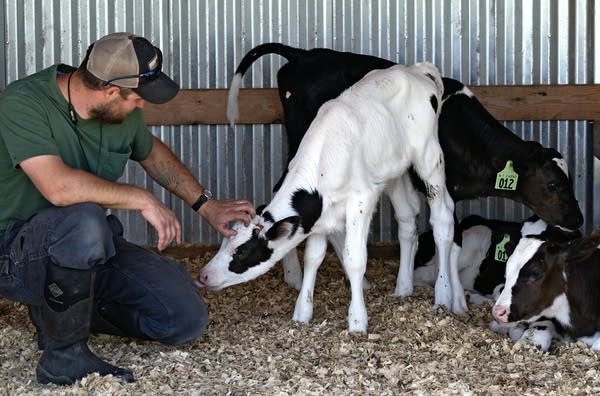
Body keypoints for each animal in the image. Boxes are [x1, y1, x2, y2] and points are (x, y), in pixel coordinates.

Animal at [199, 63, 452, 332]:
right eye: (223, 242)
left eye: (242, 250)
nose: (203, 275)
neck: (323, 161)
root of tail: (414, 70)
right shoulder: (319, 216)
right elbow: (313, 258)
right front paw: (302, 311)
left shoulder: (361, 200)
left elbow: (354, 258)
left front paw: (357, 320)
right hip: (394, 172)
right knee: (406, 219)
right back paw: (404, 287)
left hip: (429, 157)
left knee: (443, 218)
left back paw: (444, 294)